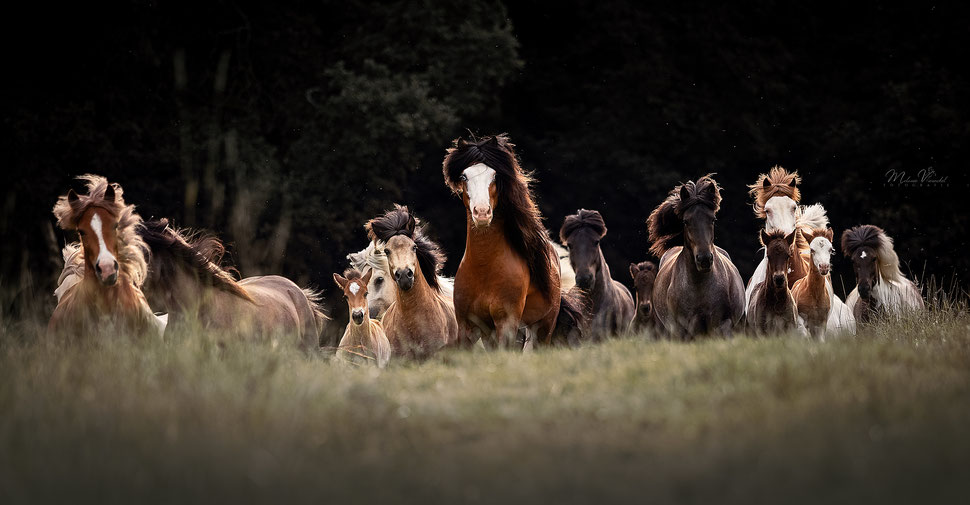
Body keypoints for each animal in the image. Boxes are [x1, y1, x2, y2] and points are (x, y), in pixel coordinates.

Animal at [442, 134, 584, 349]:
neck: (483, 267)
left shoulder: (507, 323)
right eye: (464, 177)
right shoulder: (467, 326)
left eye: (495, 176)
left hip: (542, 329)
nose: (482, 213)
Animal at [647, 175, 745, 339]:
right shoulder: (683, 331)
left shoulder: (722, 325)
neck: (699, 286)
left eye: (713, 219)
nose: (704, 259)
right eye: (686, 221)